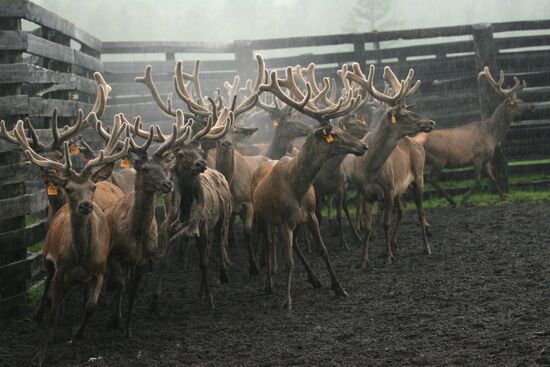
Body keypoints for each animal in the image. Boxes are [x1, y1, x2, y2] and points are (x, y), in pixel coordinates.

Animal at [9, 117, 130, 366]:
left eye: (92, 187)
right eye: (69, 188)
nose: (86, 205)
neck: (80, 257)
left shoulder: (98, 271)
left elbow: (90, 306)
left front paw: (76, 336)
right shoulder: (60, 270)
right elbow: (54, 311)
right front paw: (41, 353)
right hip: (48, 257)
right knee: (48, 284)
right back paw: (40, 315)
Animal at [91, 113, 175, 338]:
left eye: (164, 169)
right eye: (145, 169)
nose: (168, 184)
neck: (136, 235)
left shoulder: (144, 259)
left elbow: (133, 292)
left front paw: (128, 329)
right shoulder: (115, 255)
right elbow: (119, 285)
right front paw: (115, 320)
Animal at [253, 64, 368, 310]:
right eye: (334, 134)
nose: (363, 146)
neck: (297, 188)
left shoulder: (310, 215)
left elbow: (322, 250)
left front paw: (339, 287)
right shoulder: (283, 221)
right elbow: (287, 262)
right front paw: (287, 300)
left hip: (295, 222)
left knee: (295, 245)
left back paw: (314, 279)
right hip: (264, 216)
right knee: (269, 245)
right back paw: (268, 285)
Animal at [350, 64, 436, 268]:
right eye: (403, 114)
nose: (431, 122)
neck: (370, 168)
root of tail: (416, 143)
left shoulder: (388, 189)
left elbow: (385, 224)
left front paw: (389, 256)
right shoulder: (366, 192)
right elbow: (367, 227)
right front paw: (363, 260)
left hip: (418, 177)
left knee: (420, 212)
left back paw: (426, 248)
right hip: (401, 188)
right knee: (404, 208)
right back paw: (394, 245)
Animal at [418, 67, 536, 207]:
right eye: (517, 103)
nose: (533, 106)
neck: (492, 136)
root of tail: (418, 140)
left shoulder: (487, 159)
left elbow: (492, 178)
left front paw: (503, 196)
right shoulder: (477, 156)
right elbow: (478, 179)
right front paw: (464, 197)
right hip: (439, 158)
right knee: (431, 178)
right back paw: (452, 200)